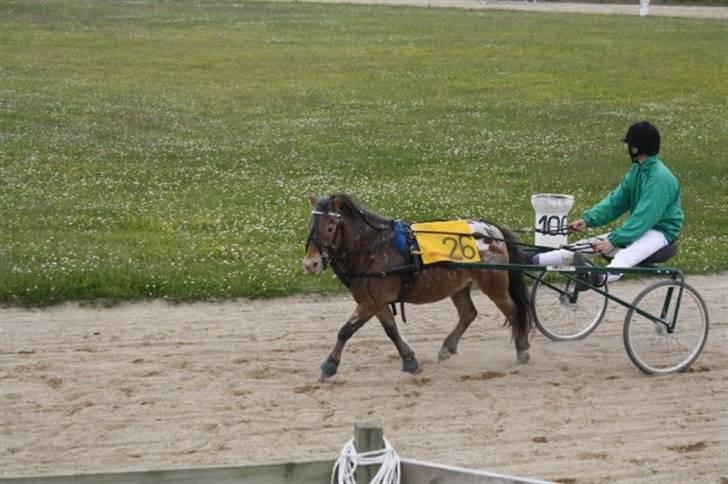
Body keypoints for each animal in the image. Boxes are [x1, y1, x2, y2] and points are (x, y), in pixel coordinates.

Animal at [300, 192, 528, 378]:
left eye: (330, 227)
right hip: (458, 285)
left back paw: (523, 350)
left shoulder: (372, 302)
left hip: (494, 283)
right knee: (468, 313)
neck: (374, 249)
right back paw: (447, 347)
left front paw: (330, 364)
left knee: (513, 310)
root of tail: (493, 230)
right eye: (310, 226)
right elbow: (391, 330)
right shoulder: (374, 300)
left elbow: (346, 330)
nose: (310, 264)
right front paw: (409, 360)